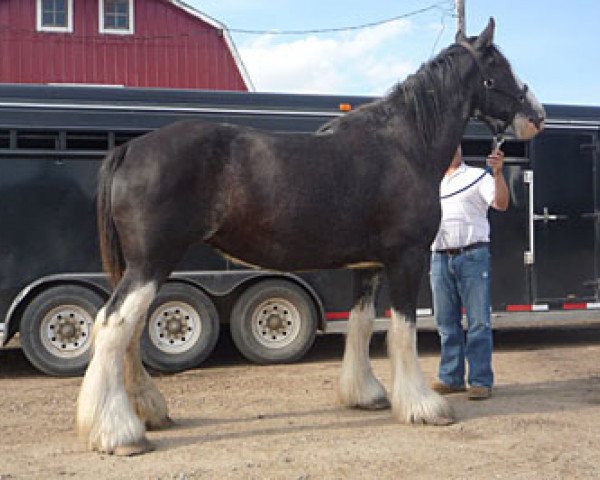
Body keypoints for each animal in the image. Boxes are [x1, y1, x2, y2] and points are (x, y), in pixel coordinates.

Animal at [77, 18, 548, 454]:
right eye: (498, 66)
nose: (538, 116)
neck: (403, 146)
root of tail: (130, 149)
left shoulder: (369, 267)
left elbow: (362, 325)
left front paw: (366, 395)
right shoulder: (407, 259)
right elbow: (403, 330)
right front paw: (422, 406)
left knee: (128, 331)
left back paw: (147, 414)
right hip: (151, 263)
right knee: (113, 325)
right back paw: (118, 433)